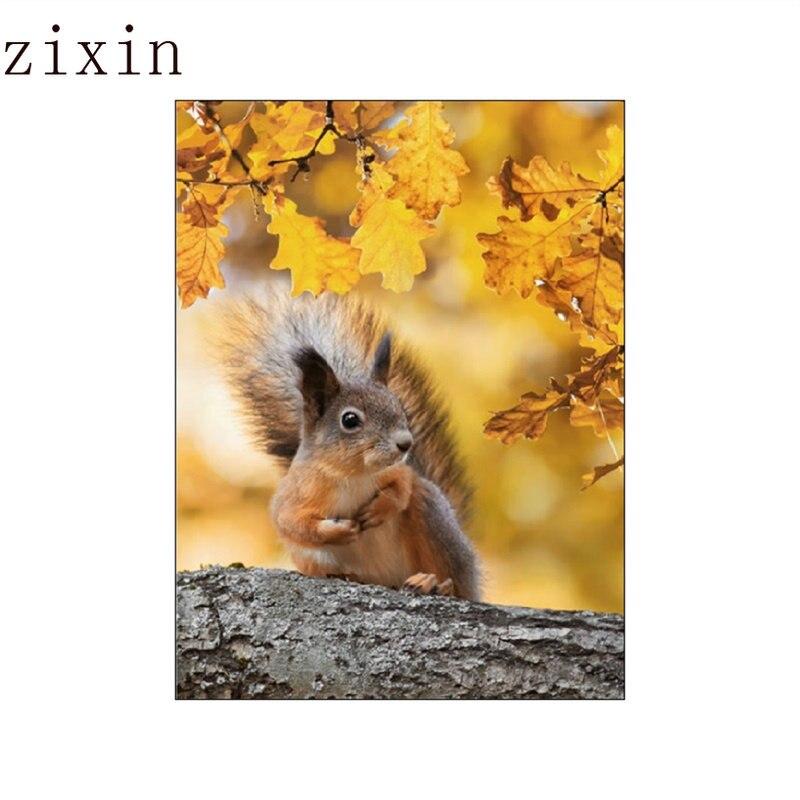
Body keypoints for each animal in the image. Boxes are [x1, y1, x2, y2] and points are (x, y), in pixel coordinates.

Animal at [220, 289, 481, 601]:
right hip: (313, 559)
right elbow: (293, 525)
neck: (353, 475)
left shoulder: (398, 471)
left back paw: (435, 584)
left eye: (400, 409)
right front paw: (339, 531)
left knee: (453, 578)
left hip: (434, 521)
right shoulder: (293, 496)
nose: (406, 444)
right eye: (350, 420)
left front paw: (381, 507)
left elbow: (404, 484)